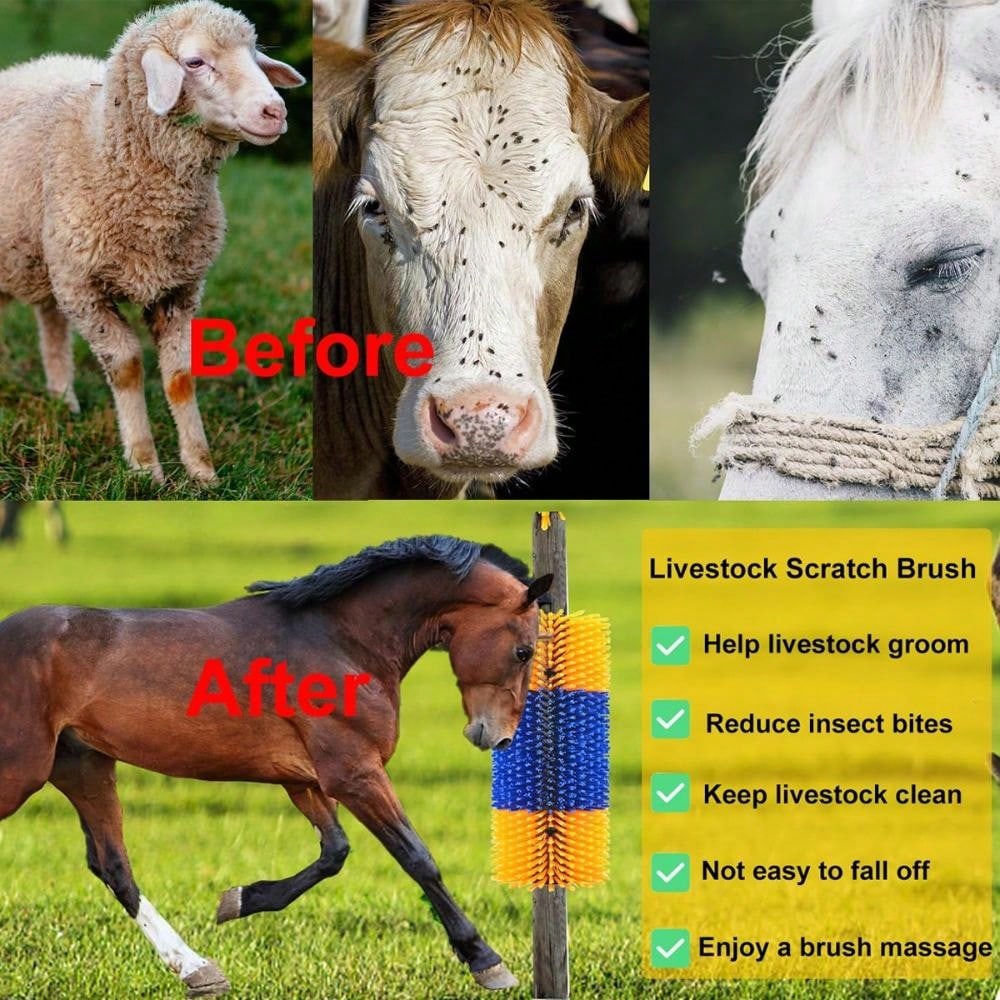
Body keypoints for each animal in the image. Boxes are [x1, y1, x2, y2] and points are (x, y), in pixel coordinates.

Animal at [0, 535, 553, 996]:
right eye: (524, 650)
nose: (496, 736)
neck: (343, 642)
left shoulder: (306, 779)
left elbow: (335, 851)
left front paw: (240, 899)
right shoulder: (355, 772)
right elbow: (418, 858)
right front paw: (486, 961)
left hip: (84, 766)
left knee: (113, 865)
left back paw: (199, 970)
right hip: (23, 772)